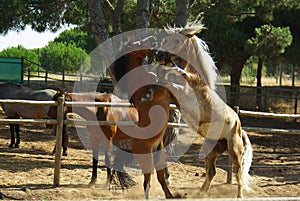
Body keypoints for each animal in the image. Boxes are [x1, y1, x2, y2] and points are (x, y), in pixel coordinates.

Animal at [157, 23, 253, 198]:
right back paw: (200, 193)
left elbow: (170, 78)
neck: (197, 77)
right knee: (211, 172)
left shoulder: (182, 92)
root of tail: (239, 128)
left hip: (234, 151)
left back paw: (239, 196)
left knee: (238, 173)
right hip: (211, 150)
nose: (159, 54)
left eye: (176, 40)